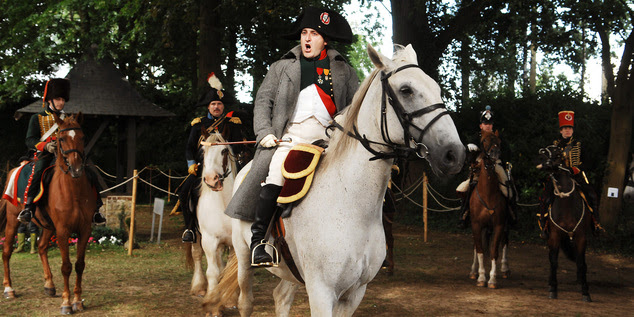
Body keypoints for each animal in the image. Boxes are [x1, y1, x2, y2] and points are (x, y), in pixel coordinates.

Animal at [1, 112, 96, 312]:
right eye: (61, 138)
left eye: (83, 137)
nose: (76, 168)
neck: (73, 190)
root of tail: (14, 169)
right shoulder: (63, 231)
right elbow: (66, 266)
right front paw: (67, 303)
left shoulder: (85, 230)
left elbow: (79, 265)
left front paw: (77, 301)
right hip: (13, 221)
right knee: (6, 252)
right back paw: (9, 289)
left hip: (47, 226)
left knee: (42, 247)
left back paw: (49, 285)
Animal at [189, 132, 238, 298]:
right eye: (203, 152)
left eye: (224, 151)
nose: (211, 180)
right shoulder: (209, 240)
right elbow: (212, 272)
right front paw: (211, 296)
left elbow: (230, 273)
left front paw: (230, 298)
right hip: (196, 236)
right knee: (197, 255)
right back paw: (198, 286)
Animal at [205, 43, 462, 314]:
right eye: (406, 90)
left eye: (436, 88)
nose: (454, 154)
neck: (350, 201)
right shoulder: (322, 292)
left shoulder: (354, 293)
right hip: (244, 257)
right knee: (246, 302)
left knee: (281, 297)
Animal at [536, 144, 592, 300]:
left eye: (558, 153)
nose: (541, 157)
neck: (567, 205)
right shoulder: (554, 236)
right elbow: (554, 262)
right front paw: (553, 288)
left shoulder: (581, 237)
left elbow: (580, 262)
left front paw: (585, 291)